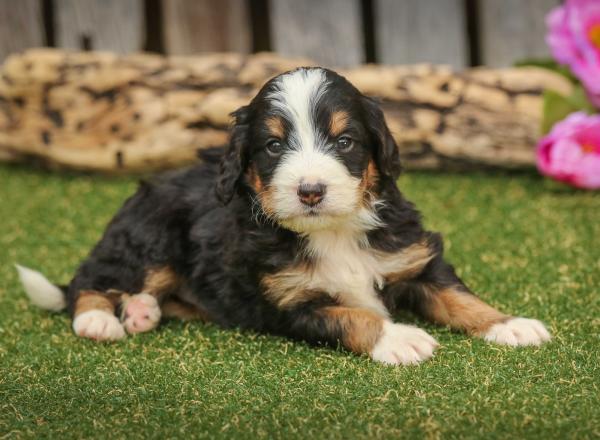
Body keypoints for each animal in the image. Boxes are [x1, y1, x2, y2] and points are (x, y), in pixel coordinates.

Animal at [17, 68, 552, 364]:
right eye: (274, 146)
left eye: (344, 141)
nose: (310, 191)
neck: (332, 231)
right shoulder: (290, 303)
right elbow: (352, 316)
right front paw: (400, 339)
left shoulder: (415, 258)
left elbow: (459, 297)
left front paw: (508, 325)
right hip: (150, 237)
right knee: (91, 279)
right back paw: (100, 320)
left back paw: (141, 311)